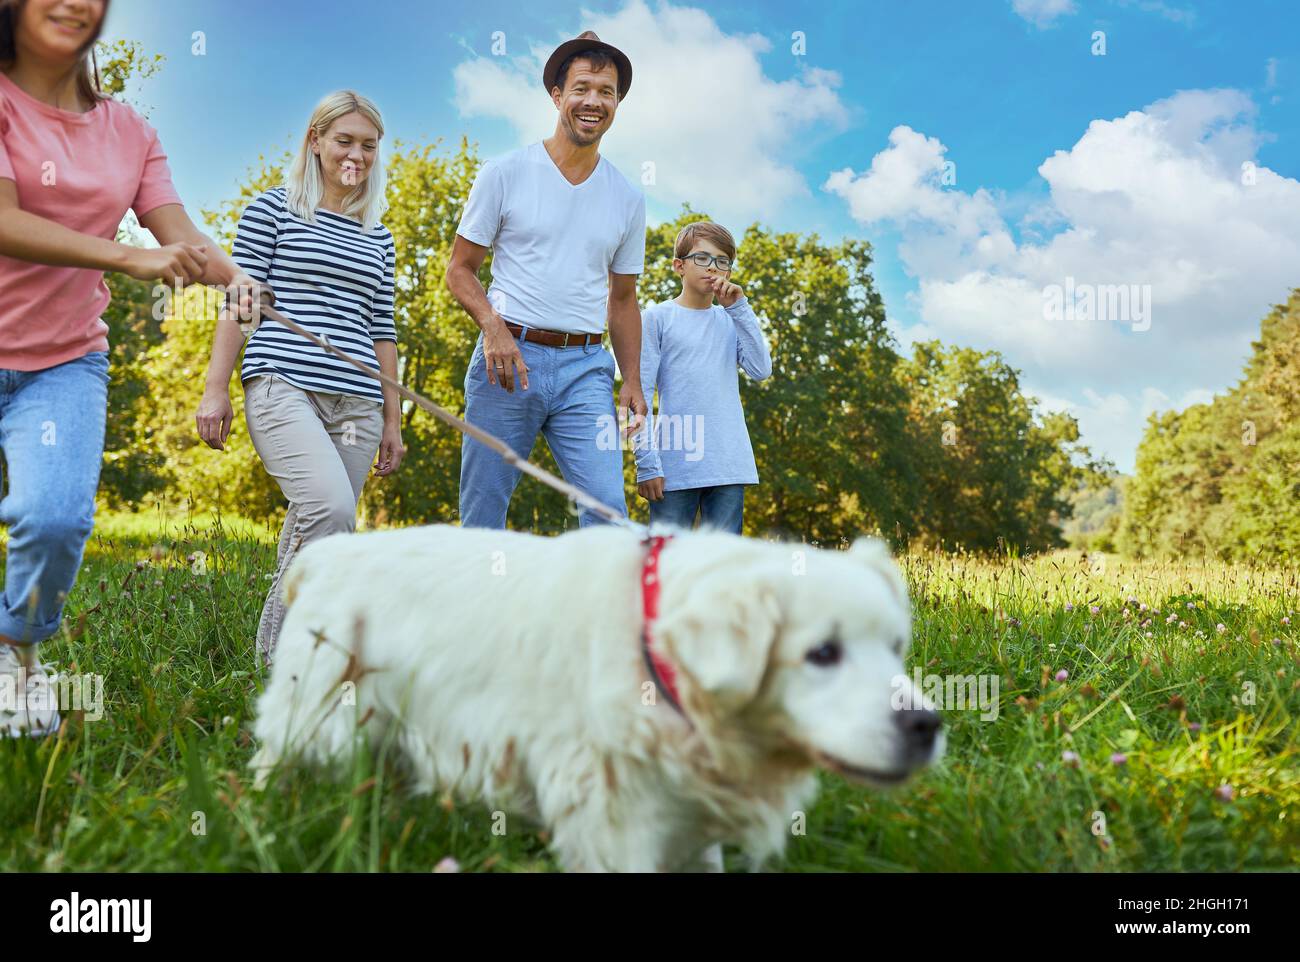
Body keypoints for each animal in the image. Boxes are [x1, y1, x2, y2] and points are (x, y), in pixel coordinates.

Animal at [250, 525, 946, 873]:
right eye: (822, 653)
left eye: (896, 646)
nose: (926, 725)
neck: (656, 650)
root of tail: (325, 553)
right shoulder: (612, 817)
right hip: (314, 714)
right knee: (271, 764)